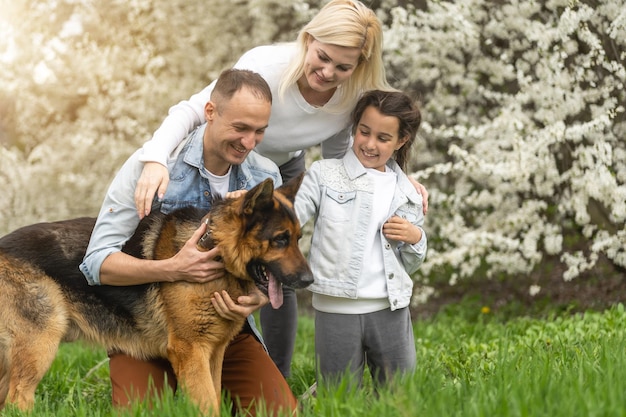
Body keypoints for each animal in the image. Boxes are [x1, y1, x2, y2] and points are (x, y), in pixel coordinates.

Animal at [0, 175, 312, 412]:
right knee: (17, 399)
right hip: (41, 343)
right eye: (280, 240)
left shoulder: (212, 353)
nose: (309, 280)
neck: (216, 249)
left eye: (298, 238)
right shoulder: (191, 351)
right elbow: (208, 404)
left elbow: (214, 397)